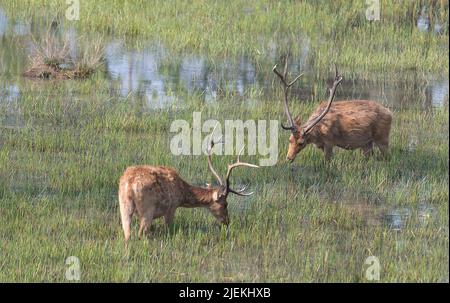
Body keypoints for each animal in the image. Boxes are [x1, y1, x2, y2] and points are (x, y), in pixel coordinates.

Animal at [118, 129, 258, 246]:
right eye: (225, 204)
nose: (227, 221)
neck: (182, 194)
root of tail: (130, 185)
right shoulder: (171, 207)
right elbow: (168, 230)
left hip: (124, 206)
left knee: (127, 234)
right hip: (147, 209)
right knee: (141, 233)